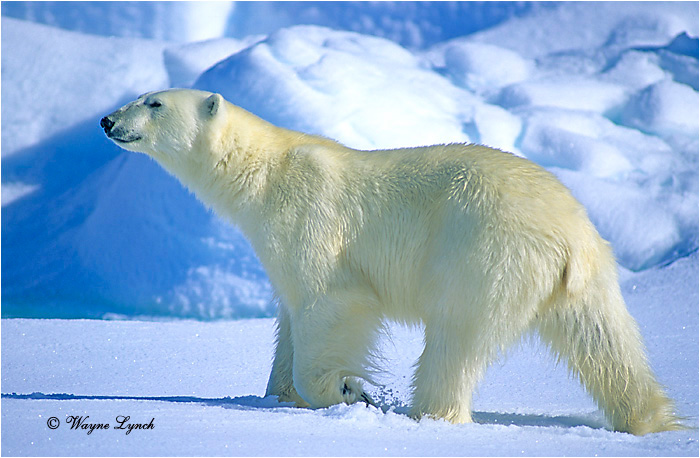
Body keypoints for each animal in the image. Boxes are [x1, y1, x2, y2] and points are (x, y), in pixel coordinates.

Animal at [101, 88, 683, 435]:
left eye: (153, 102)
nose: (107, 119)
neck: (264, 173)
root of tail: (570, 234)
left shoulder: (310, 219)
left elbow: (330, 302)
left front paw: (348, 390)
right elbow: (288, 317)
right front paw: (276, 396)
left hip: (485, 252)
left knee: (456, 338)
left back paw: (429, 414)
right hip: (585, 277)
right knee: (605, 341)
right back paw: (650, 419)